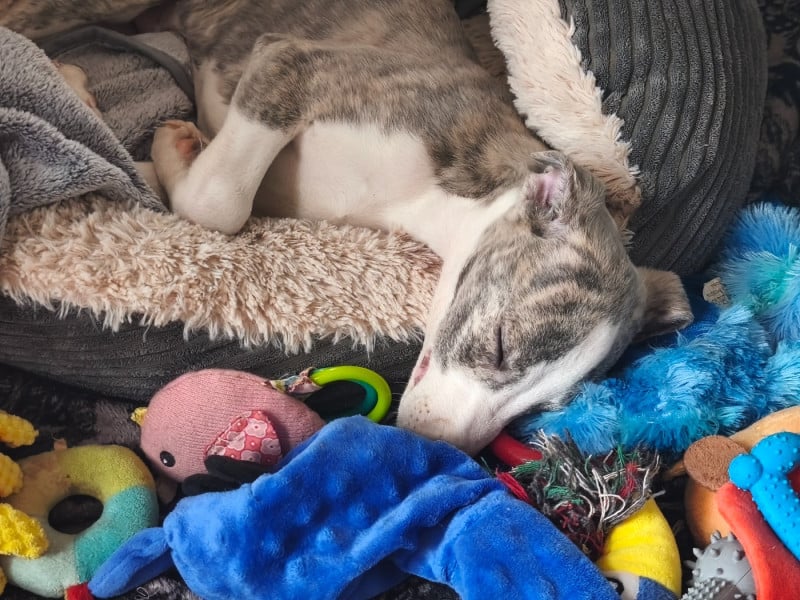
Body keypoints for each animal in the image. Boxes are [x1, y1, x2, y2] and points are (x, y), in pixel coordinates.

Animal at [56, 0, 692, 454]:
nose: (430, 448)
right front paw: (174, 145)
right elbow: (217, 202)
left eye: (541, 409)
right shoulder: (291, 64)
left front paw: (165, 154)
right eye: (500, 344)